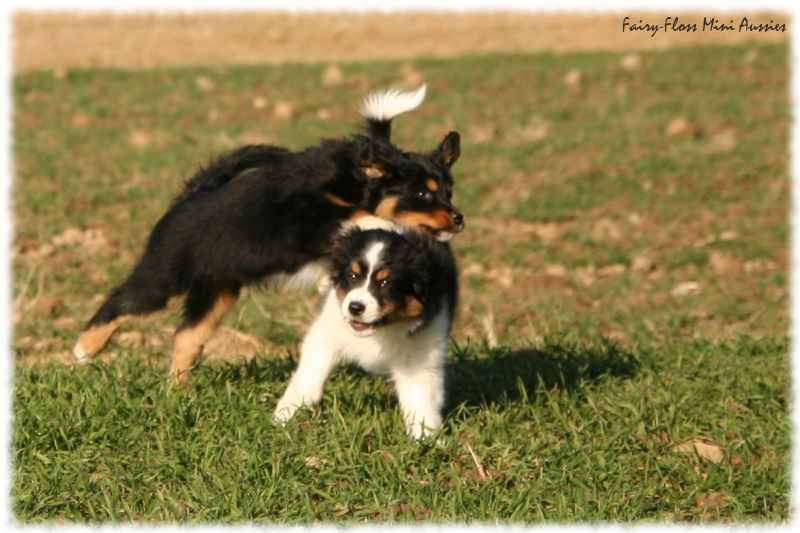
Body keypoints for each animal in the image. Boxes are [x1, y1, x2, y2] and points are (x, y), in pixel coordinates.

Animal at [276, 229, 456, 440]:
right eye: (352, 276)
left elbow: (420, 400)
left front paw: (427, 440)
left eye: (386, 283)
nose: (355, 308)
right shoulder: (326, 334)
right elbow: (309, 382)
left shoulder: (421, 351)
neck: (378, 333)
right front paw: (284, 417)